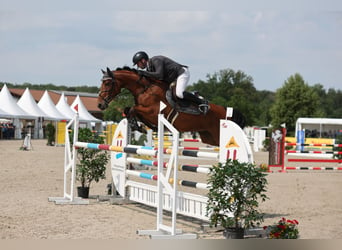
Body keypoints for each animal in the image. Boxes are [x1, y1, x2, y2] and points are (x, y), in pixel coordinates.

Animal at [97, 66, 244, 146]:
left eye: (108, 83)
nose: (100, 104)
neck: (145, 89)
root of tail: (224, 110)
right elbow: (129, 110)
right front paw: (138, 126)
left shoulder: (154, 112)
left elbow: (133, 109)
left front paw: (139, 126)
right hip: (209, 137)